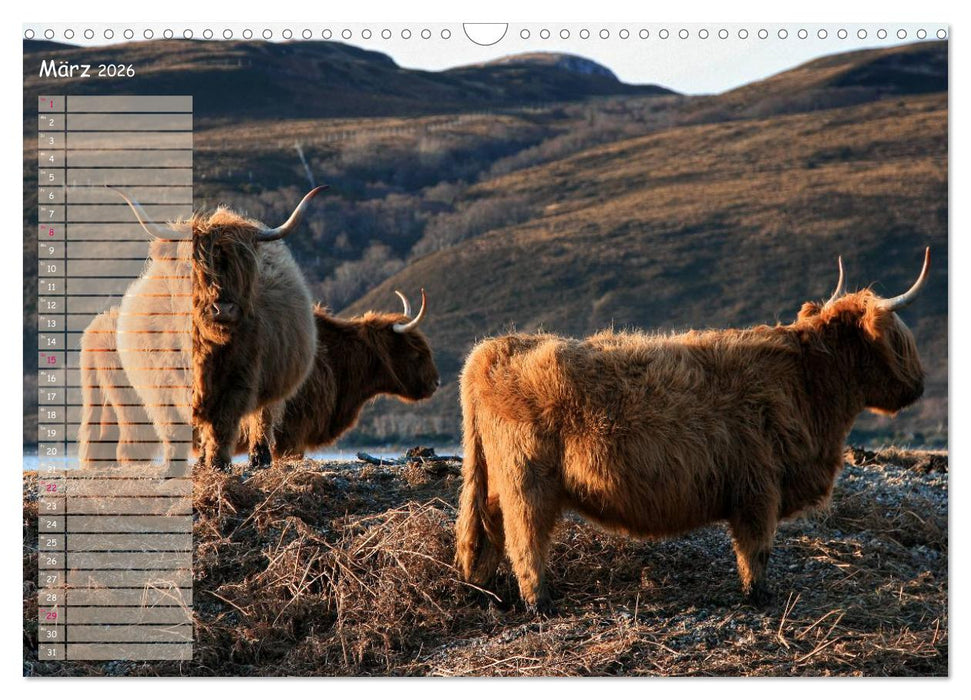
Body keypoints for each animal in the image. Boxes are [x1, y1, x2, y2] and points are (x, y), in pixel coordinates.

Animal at [112, 187, 325, 473]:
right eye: (196, 269)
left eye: (244, 268)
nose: (223, 308)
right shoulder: (162, 385)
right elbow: (173, 427)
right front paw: (173, 468)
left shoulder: (239, 380)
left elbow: (222, 425)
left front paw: (219, 464)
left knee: (262, 418)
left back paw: (259, 459)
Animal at [454, 250, 930, 614]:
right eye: (899, 337)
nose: (920, 385)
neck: (809, 383)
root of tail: (493, 348)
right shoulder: (759, 488)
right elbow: (756, 548)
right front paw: (759, 596)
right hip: (527, 480)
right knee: (525, 540)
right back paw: (540, 603)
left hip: (497, 479)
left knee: (488, 528)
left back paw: (486, 591)